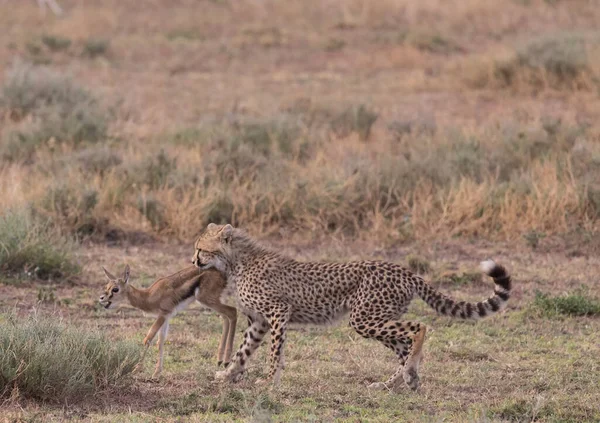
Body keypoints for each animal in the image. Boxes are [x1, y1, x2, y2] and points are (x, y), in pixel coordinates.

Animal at [191, 224, 510, 392]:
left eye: (201, 249)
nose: (193, 260)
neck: (236, 262)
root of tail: (405, 270)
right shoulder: (258, 321)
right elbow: (242, 352)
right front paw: (228, 375)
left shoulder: (278, 312)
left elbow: (274, 352)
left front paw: (269, 380)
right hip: (377, 318)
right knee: (404, 347)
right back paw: (396, 382)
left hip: (365, 318)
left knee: (419, 328)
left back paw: (407, 375)